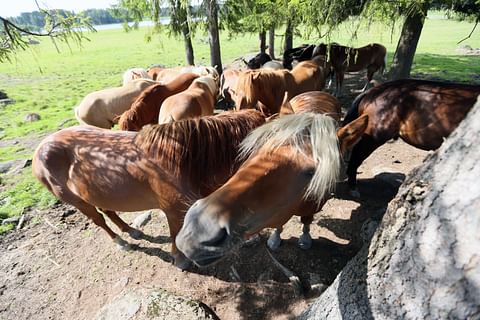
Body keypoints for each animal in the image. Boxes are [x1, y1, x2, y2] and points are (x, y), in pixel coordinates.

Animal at [175, 111, 368, 266]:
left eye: (311, 172)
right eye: (258, 149)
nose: (198, 228)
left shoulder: (312, 207)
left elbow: (306, 221)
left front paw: (305, 239)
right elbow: (279, 224)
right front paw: (275, 239)